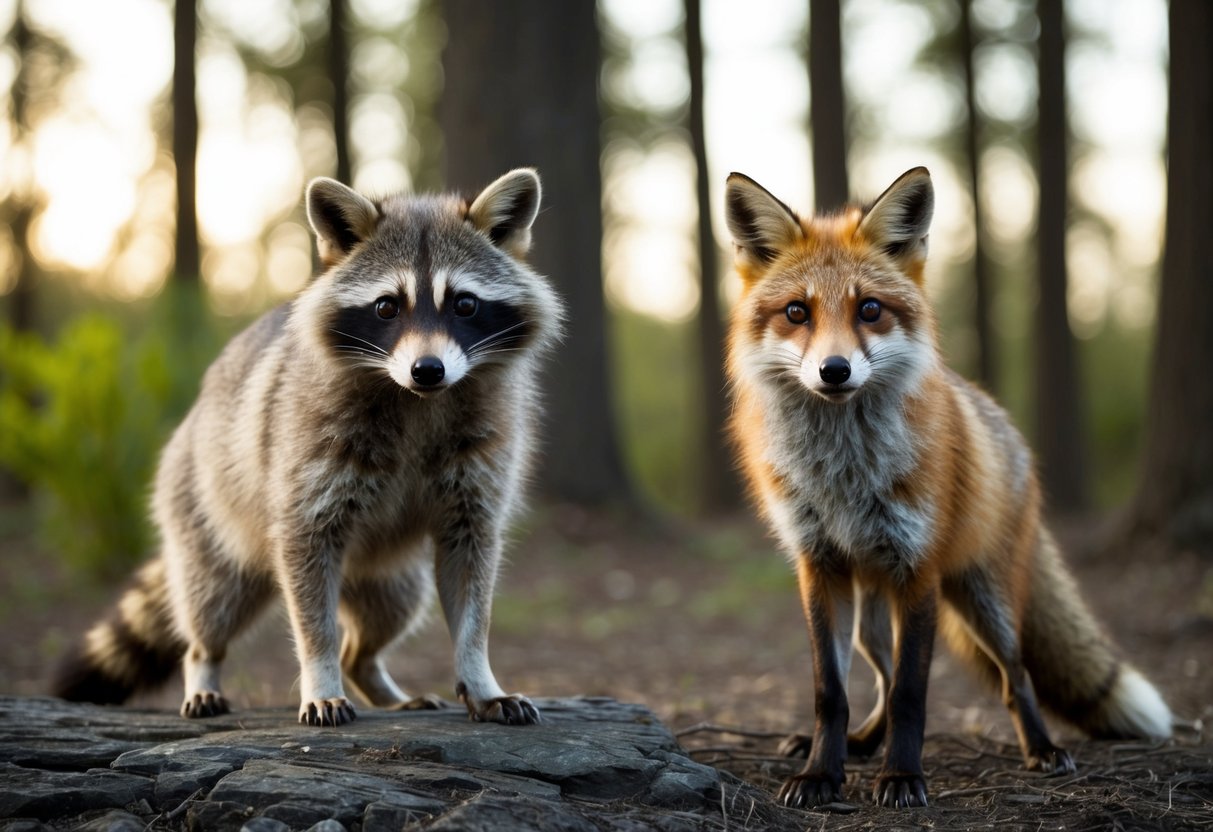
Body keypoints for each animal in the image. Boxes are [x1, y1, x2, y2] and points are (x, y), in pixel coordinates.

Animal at [53, 168, 564, 727]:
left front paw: (480, 675)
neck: (415, 399)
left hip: (389, 573)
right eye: (387, 306)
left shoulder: (479, 469)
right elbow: (308, 590)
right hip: (203, 506)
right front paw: (320, 675)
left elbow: (473, 583)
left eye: (465, 304)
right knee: (213, 601)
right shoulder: (305, 460)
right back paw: (204, 665)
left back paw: (371, 673)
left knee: (385, 616)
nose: (427, 370)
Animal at [723, 167, 1172, 808]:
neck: (845, 474)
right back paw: (861, 743)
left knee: (1015, 675)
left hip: (983, 600)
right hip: (870, 614)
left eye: (870, 309)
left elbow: (913, 694)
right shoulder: (820, 566)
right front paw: (821, 773)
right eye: (796, 312)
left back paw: (1042, 749)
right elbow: (832, 692)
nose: (834, 371)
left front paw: (902, 777)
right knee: (879, 680)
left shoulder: (920, 569)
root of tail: (1002, 424)